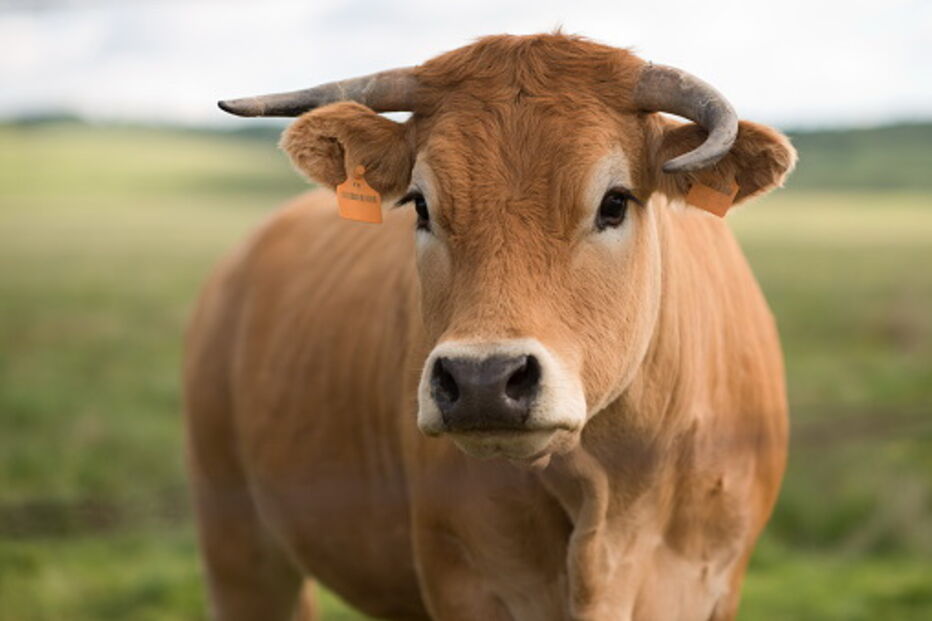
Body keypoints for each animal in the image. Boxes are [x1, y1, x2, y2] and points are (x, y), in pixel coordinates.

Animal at [185, 33, 795, 621]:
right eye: (420, 205)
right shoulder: (467, 584)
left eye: (615, 202)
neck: (608, 497)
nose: (483, 380)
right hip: (237, 548)